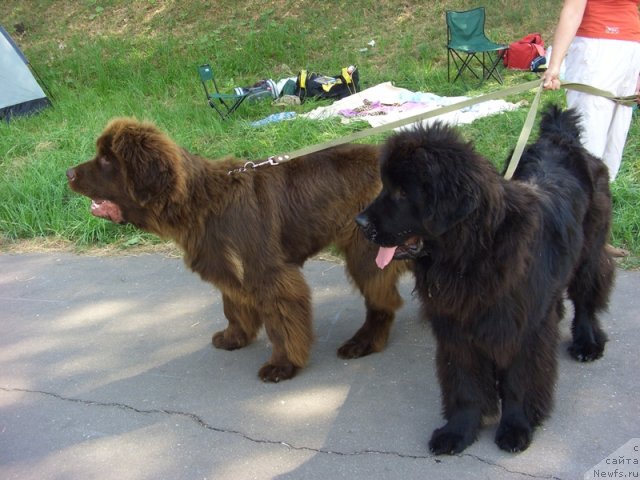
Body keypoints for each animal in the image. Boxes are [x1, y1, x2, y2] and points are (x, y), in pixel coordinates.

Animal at [65, 119, 404, 382]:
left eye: (106, 160)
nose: (68, 172)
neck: (201, 201)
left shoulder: (270, 274)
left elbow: (281, 324)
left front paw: (283, 365)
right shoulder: (227, 267)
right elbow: (233, 306)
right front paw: (234, 337)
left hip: (366, 251)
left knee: (382, 303)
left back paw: (364, 342)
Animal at [358, 105, 612, 454]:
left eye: (402, 192)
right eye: (385, 186)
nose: (359, 222)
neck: (473, 256)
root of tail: (561, 138)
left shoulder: (521, 328)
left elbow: (519, 381)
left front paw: (516, 428)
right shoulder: (456, 326)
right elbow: (465, 383)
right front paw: (458, 431)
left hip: (589, 251)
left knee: (587, 295)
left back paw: (586, 342)